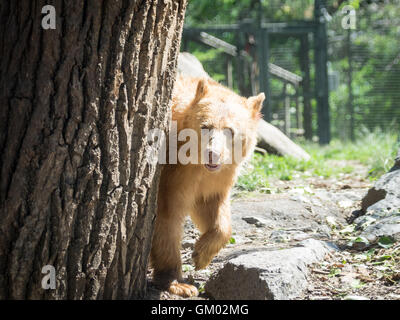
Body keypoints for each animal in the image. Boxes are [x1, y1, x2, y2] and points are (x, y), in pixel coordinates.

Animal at [149, 75, 262, 298]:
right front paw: (179, 283)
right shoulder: (171, 173)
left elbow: (212, 205)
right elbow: (167, 215)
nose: (213, 154)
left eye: (230, 130)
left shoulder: (215, 178)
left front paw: (201, 255)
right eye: (205, 126)